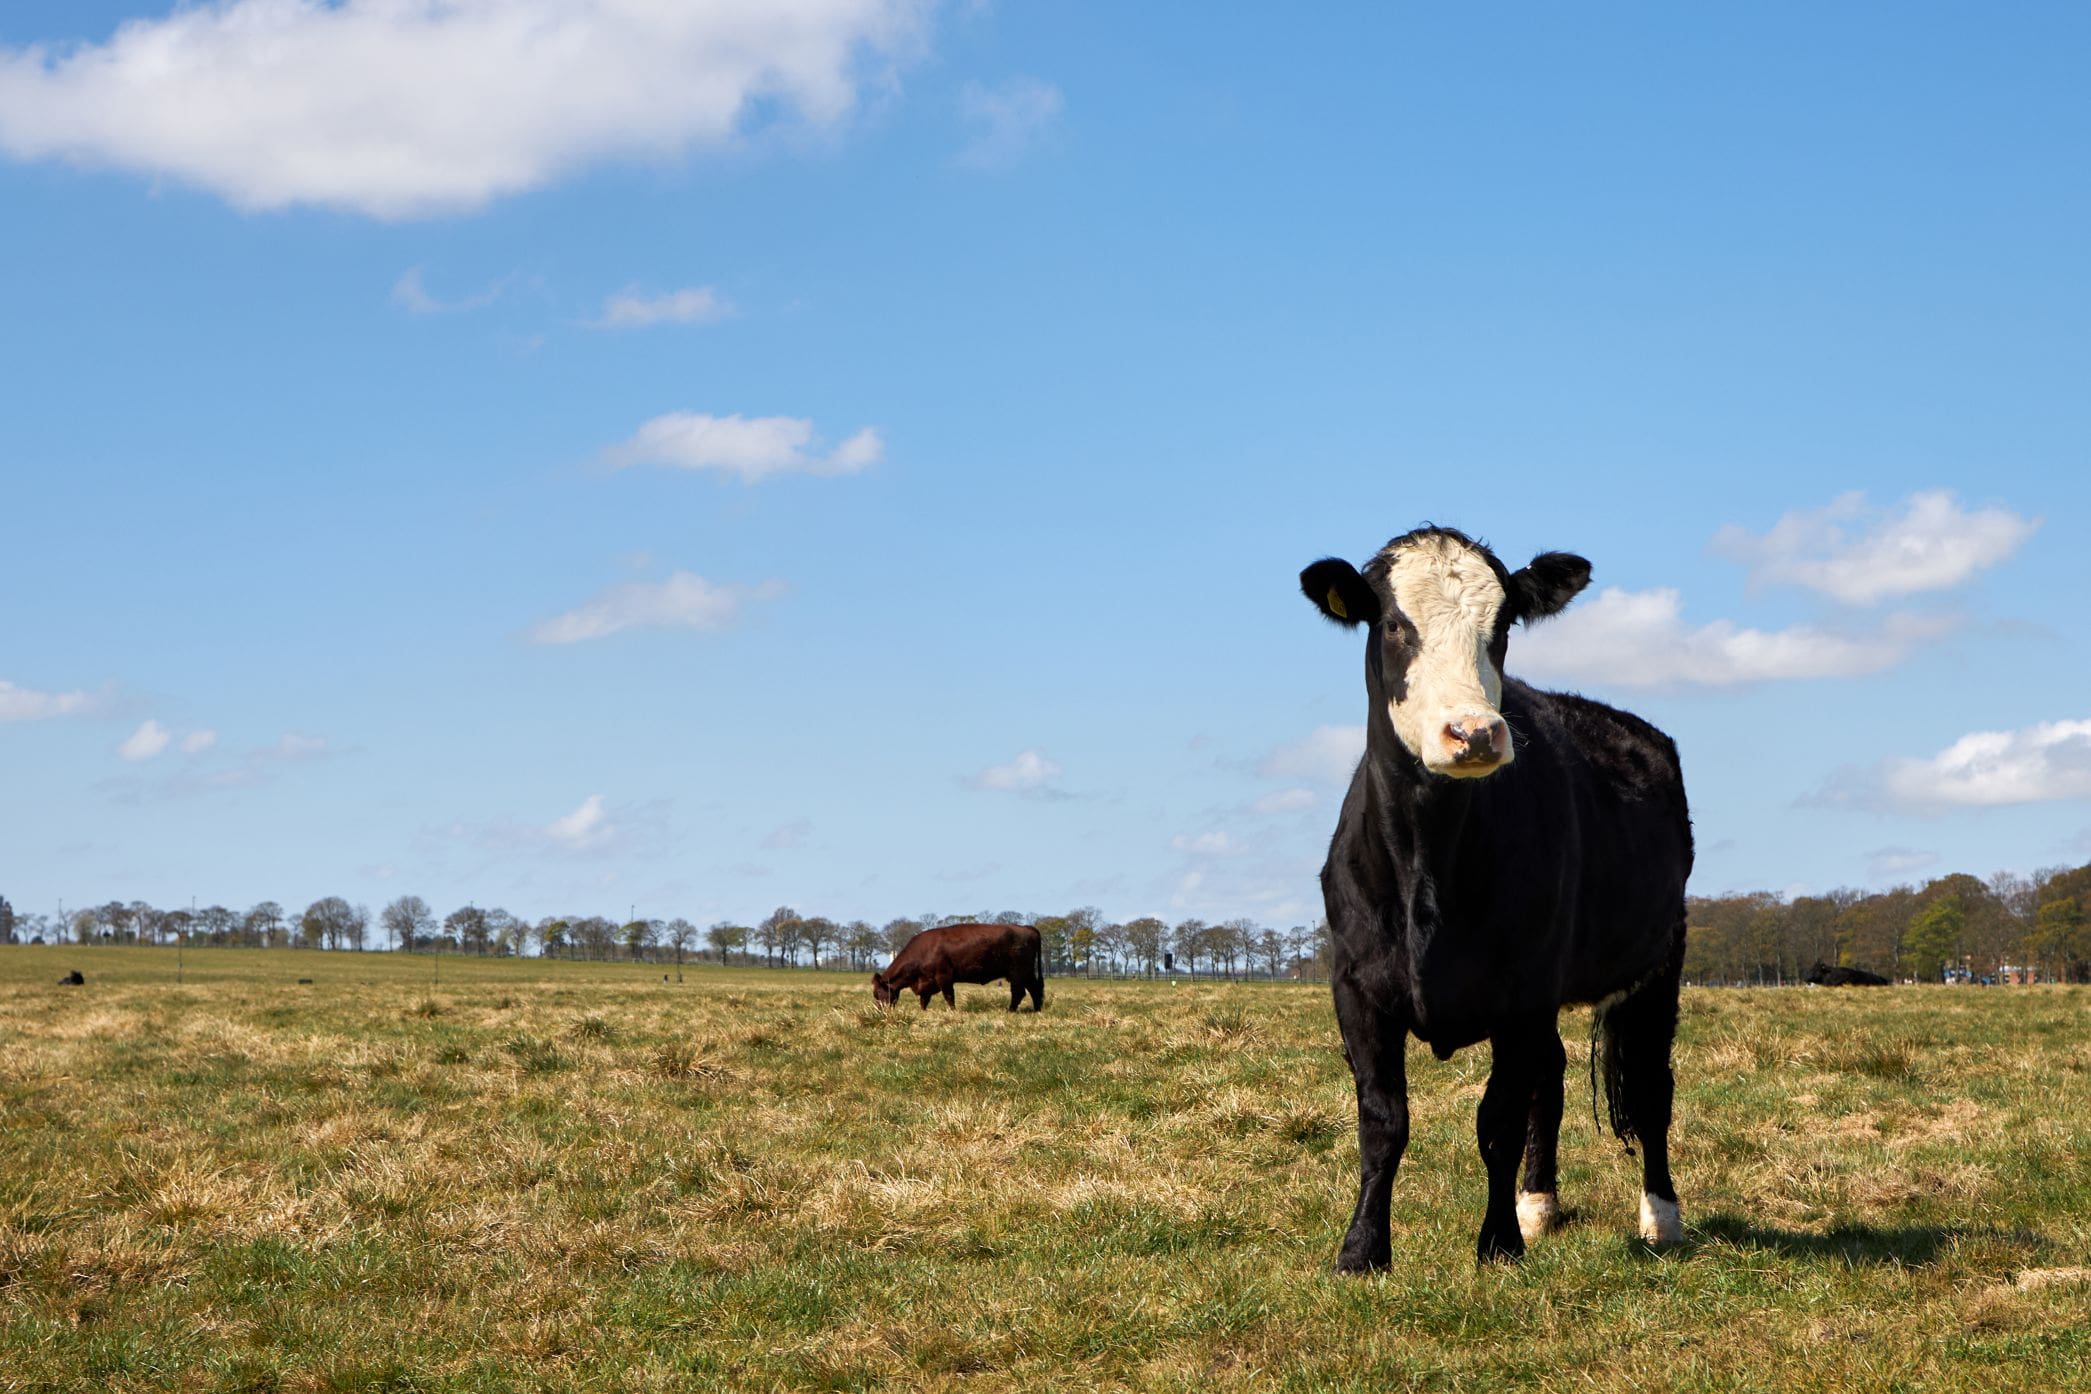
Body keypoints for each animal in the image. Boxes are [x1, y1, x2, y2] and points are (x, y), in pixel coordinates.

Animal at [874, 927, 1045, 1015]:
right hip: (1026, 974)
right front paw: (923, 1012)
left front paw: (953, 1011)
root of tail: (1027, 928)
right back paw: (1037, 1010)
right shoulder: (927, 983)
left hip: (1017, 973)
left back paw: (1010, 1010)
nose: (880, 1011)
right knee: (1034, 989)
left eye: (879, 993)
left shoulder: (944, 978)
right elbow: (924, 1000)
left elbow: (949, 996)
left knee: (1018, 992)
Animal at [1304, 528, 1697, 1270]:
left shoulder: (1524, 989)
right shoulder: (1356, 987)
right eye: (1393, 625)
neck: (1427, 865)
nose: (1474, 732)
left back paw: (1660, 1218)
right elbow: (1382, 1120)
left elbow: (1498, 1119)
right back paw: (1538, 1202)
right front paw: (1362, 1250)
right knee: (1556, 1074)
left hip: (1661, 957)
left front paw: (1498, 1245)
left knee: (1649, 1085)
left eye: (1504, 626)